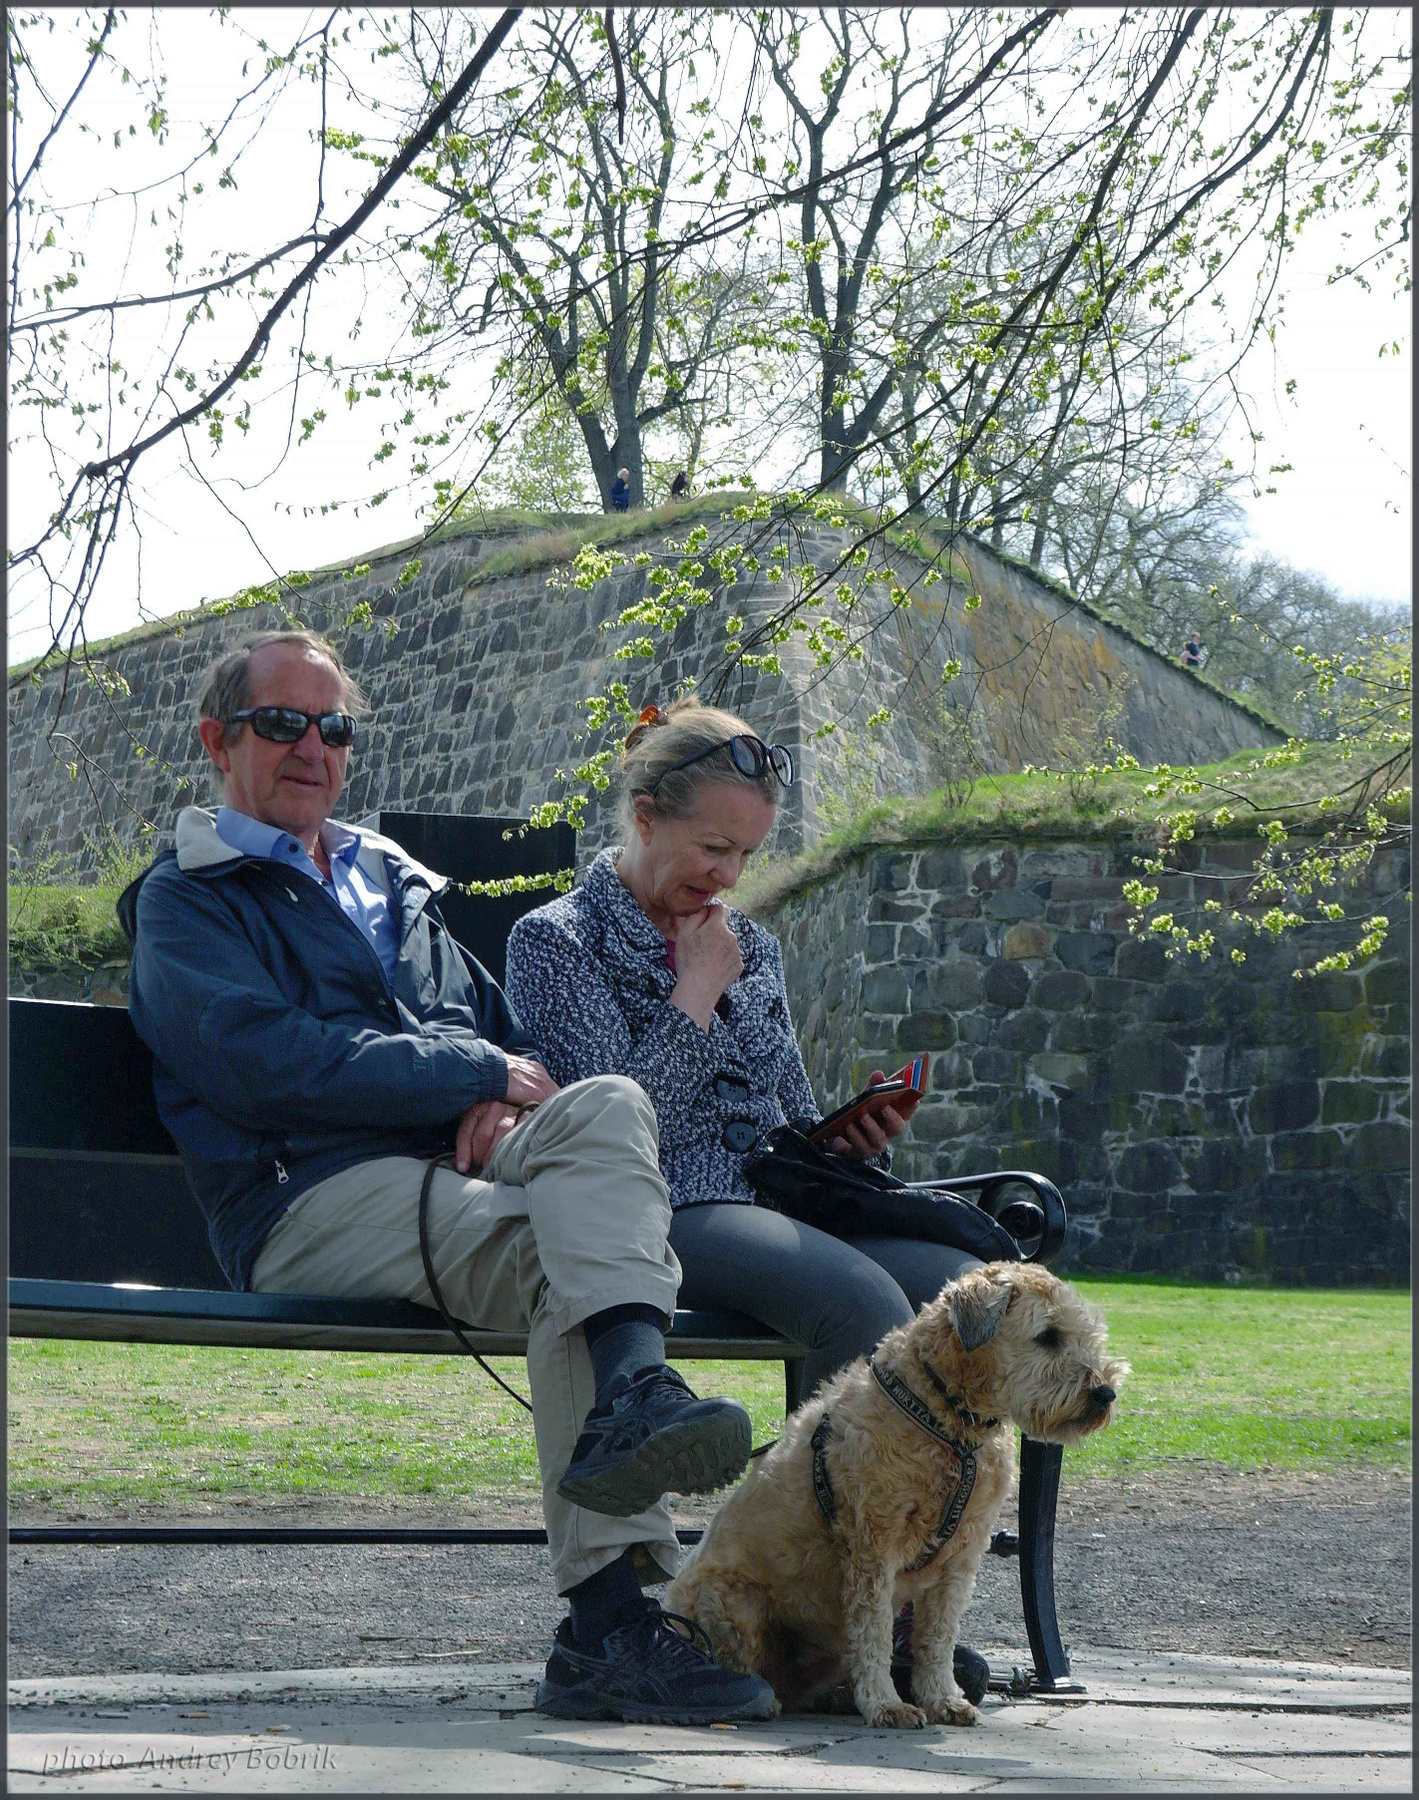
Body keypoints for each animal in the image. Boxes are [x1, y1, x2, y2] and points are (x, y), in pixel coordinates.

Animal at [666, 1261, 1127, 1729]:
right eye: (1048, 1335)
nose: (1105, 1393)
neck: (947, 1417)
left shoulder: (962, 1555)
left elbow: (937, 1638)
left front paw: (942, 1697)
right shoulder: (873, 1546)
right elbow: (874, 1633)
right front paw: (886, 1704)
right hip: (733, 1602)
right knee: (740, 1659)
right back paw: (759, 1696)